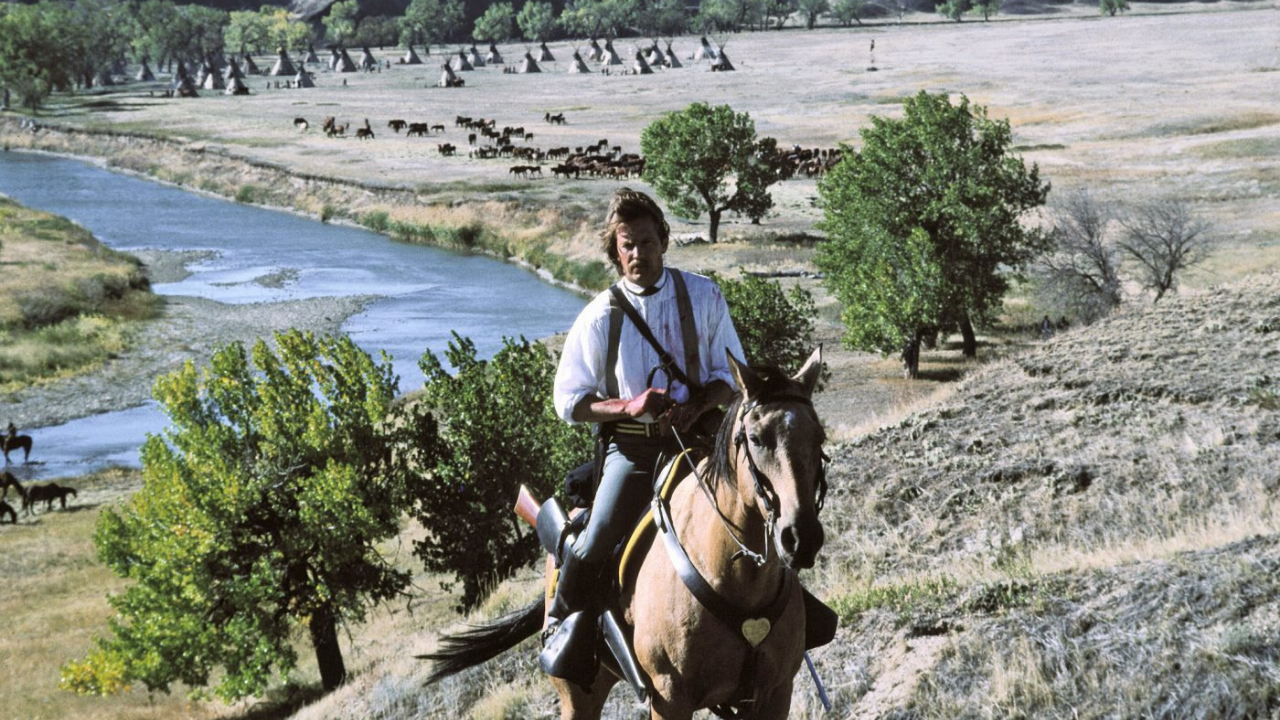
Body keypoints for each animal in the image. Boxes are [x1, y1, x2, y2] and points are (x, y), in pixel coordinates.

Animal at [424, 348, 834, 717]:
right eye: (756, 438)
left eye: (819, 437)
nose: (801, 538)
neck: (735, 576)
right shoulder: (669, 699)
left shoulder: (775, 694)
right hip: (578, 694)